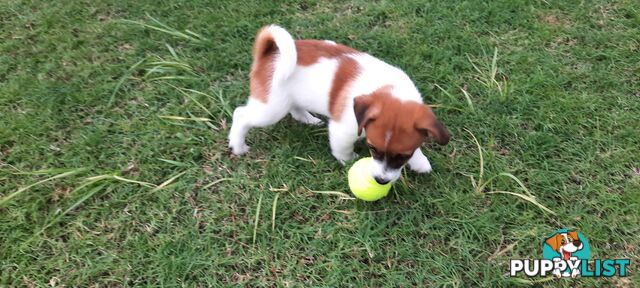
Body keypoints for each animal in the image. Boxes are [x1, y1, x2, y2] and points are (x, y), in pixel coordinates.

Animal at [230, 23, 450, 183]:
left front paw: (419, 161)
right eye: (373, 149)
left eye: (403, 156)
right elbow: (342, 149)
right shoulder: (343, 129)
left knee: (295, 109)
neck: (389, 89)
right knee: (240, 114)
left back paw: (309, 120)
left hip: (288, 99)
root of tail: (268, 53)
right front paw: (349, 160)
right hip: (271, 108)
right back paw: (237, 145)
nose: (381, 180)